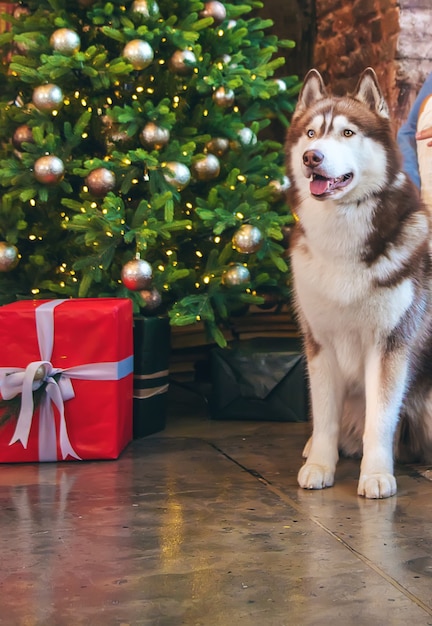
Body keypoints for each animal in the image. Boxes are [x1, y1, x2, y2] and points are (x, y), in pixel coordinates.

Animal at [286, 68, 432, 498]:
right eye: (312, 133)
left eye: (348, 133)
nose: (311, 158)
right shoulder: (319, 343)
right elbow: (324, 414)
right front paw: (320, 464)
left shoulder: (390, 343)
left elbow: (380, 420)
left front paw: (376, 474)